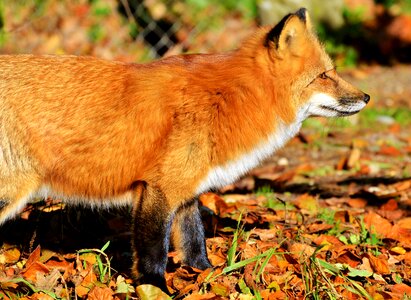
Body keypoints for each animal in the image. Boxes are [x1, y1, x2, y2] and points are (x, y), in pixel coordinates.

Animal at [0, 8, 366, 292]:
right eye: (324, 76)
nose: (366, 97)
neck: (231, 99)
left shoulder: (186, 189)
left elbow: (194, 243)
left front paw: (206, 278)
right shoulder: (159, 189)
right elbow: (153, 251)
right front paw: (154, 288)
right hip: (10, 192)